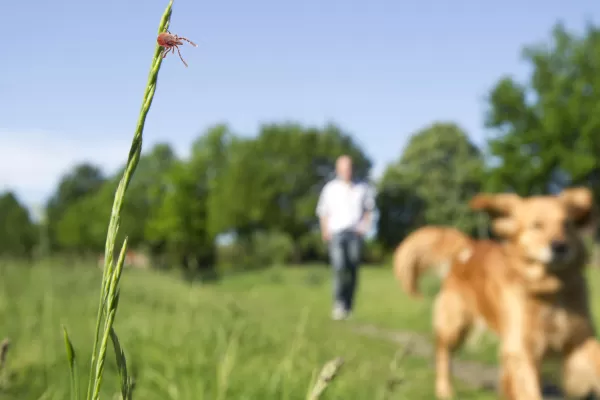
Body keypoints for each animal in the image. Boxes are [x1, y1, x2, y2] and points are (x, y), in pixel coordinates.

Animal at [418, 188, 600, 400]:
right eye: (536, 225)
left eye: (566, 223)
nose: (560, 247)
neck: (549, 289)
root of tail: (468, 248)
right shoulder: (521, 346)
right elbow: (528, 389)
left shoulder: (580, 339)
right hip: (454, 326)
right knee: (443, 354)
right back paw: (444, 390)